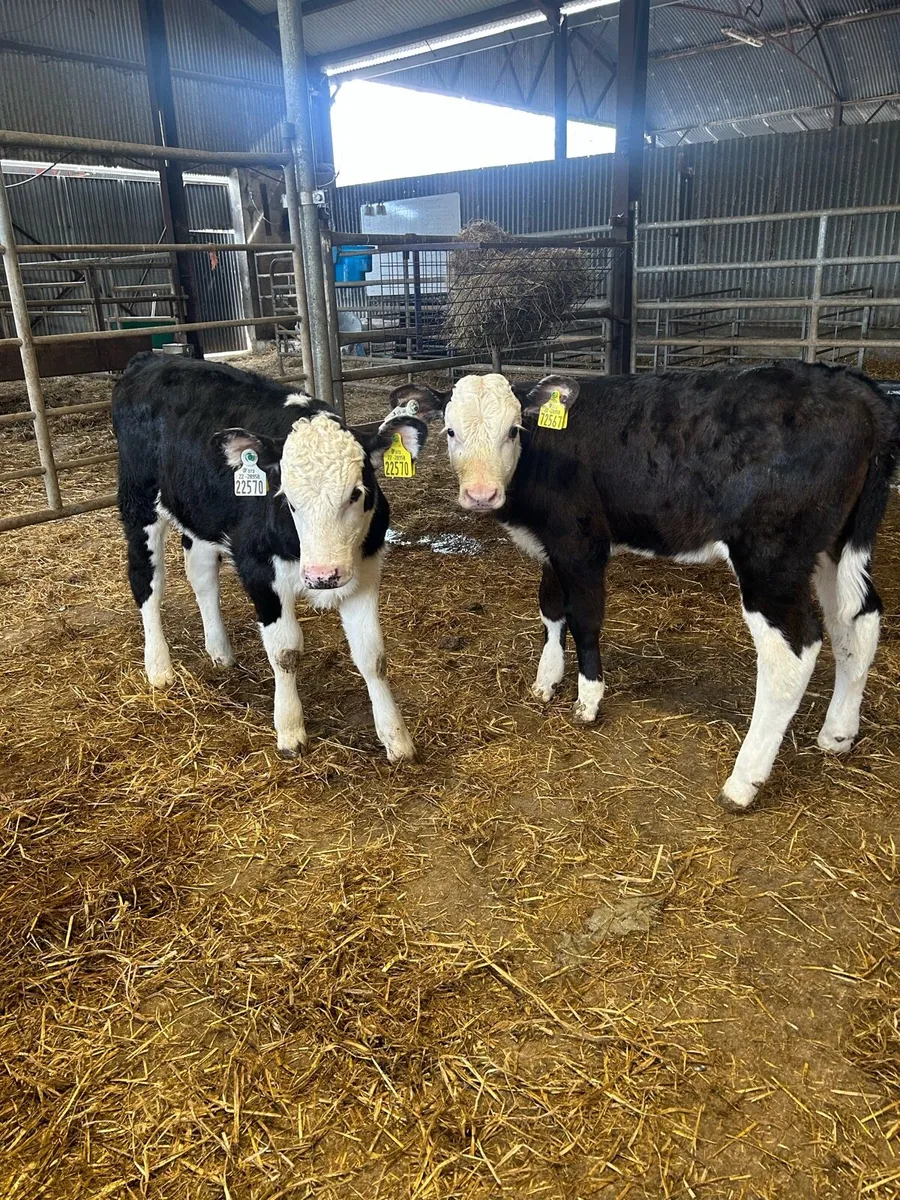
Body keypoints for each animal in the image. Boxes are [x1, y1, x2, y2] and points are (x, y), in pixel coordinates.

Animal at [112, 353, 427, 761]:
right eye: (287, 497)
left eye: (357, 492)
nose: (323, 575)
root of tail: (150, 359)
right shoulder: (258, 569)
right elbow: (286, 651)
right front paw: (289, 729)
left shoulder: (366, 569)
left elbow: (373, 655)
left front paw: (395, 737)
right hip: (139, 504)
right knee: (147, 581)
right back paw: (159, 667)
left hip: (200, 514)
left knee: (201, 576)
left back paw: (220, 651)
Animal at [389, 362, 899, 812]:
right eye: (450, 432)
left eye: (513, 430)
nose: (481, 495)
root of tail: (852, 385)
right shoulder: (552, 543)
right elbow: (550, 608)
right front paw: (546, 679)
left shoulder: (580, 542)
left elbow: (584, 618)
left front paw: (587, 700)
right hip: (838, 545)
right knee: (857, 621)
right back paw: (837, 734)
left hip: (771, 557)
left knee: (794, 650)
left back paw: (742, 783)